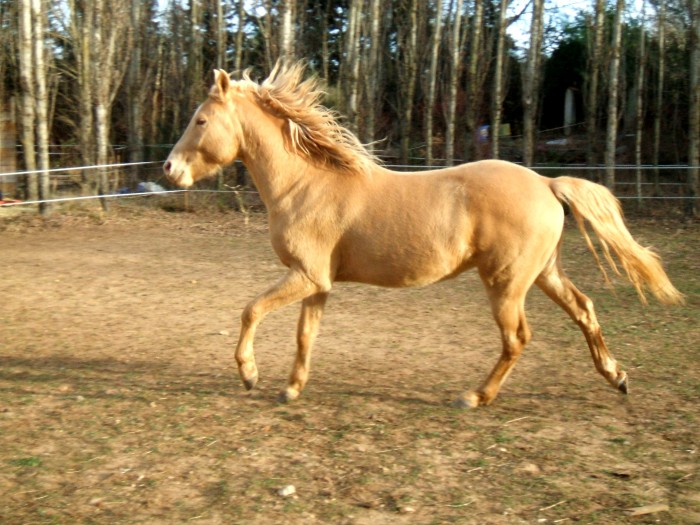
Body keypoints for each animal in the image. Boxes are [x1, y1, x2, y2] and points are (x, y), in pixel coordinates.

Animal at [161, 60, 680, 406]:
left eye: (201, 120)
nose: (169, 168)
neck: (305, 184)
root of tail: (547, 183)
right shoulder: (318, 283)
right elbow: (305, 336)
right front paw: (291, 388)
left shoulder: (305, 276)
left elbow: (250, 311)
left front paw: (250, 376)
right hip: (543, 273)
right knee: (584, 310)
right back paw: (617, 377)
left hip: (506, 284)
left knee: (517, 338)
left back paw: (475, 397)